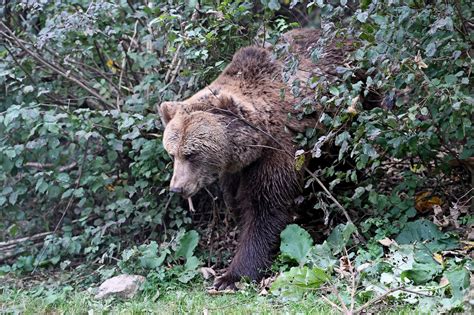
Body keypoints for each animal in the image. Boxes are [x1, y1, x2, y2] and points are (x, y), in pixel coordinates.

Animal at [160, 29, 356, 292]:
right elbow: (237, 202)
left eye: (192, 154)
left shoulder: (277, 150)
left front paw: (231, 276)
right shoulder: (234, 170)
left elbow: (265, 207)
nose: (177, 188)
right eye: (172, 153)